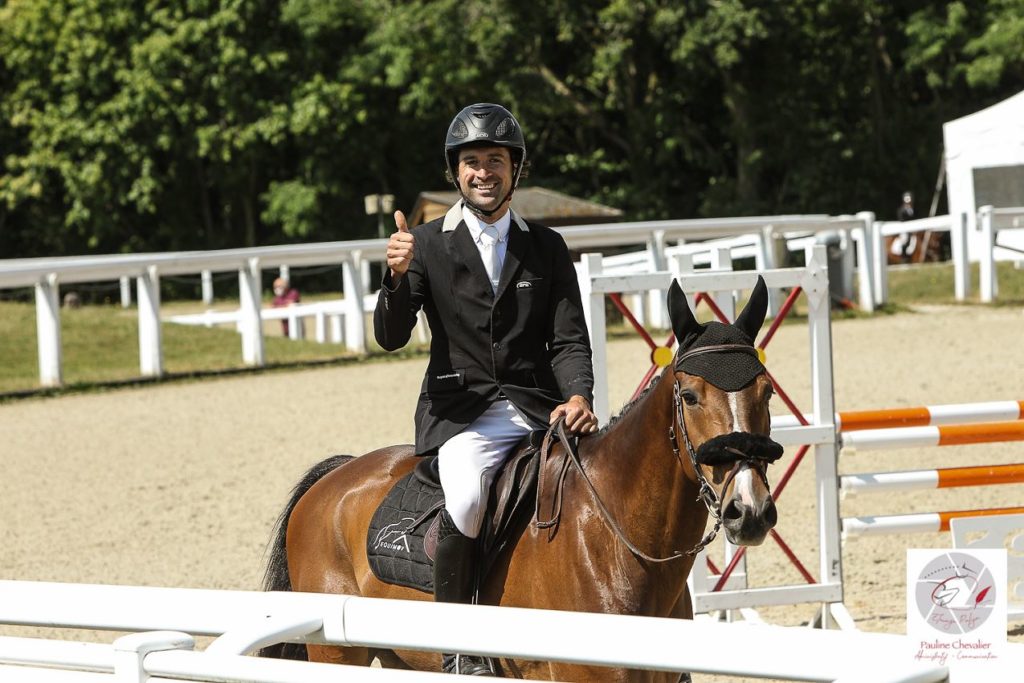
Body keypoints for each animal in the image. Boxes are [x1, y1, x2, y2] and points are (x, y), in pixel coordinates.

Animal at [260, 276, 778, 679]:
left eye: (767, 391)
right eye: (689, 396)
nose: (748, 511)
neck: (616, 540)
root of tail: (332, 480)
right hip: (336, 653)